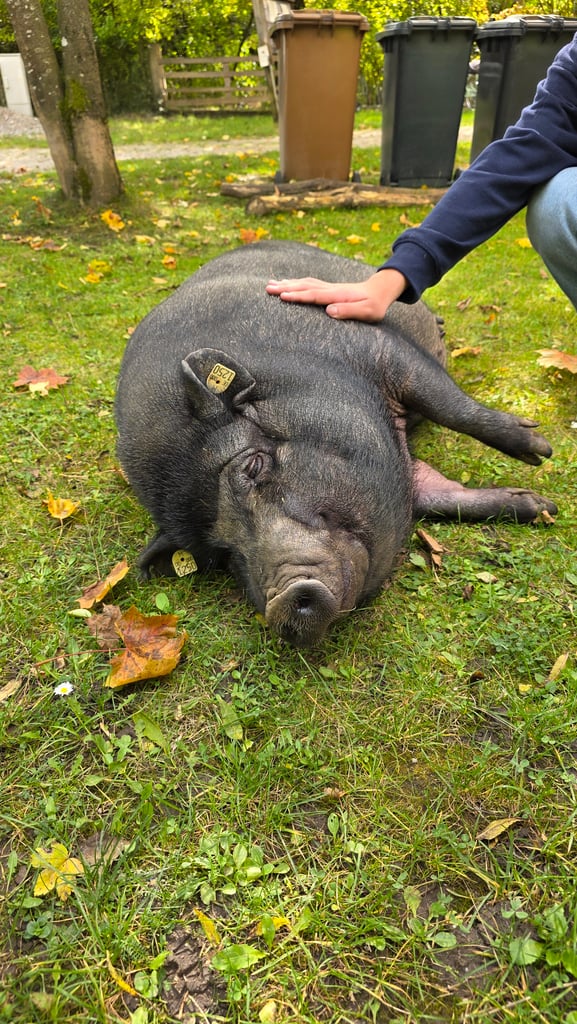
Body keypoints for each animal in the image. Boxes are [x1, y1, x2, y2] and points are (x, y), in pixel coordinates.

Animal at [115, 241, 556, 647]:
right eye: (221, 555)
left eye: (253, 466)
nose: (281, 603)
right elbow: (443, 495)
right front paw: (541, 507)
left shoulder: (382, 349)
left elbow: (453, 409)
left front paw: (540, 450)